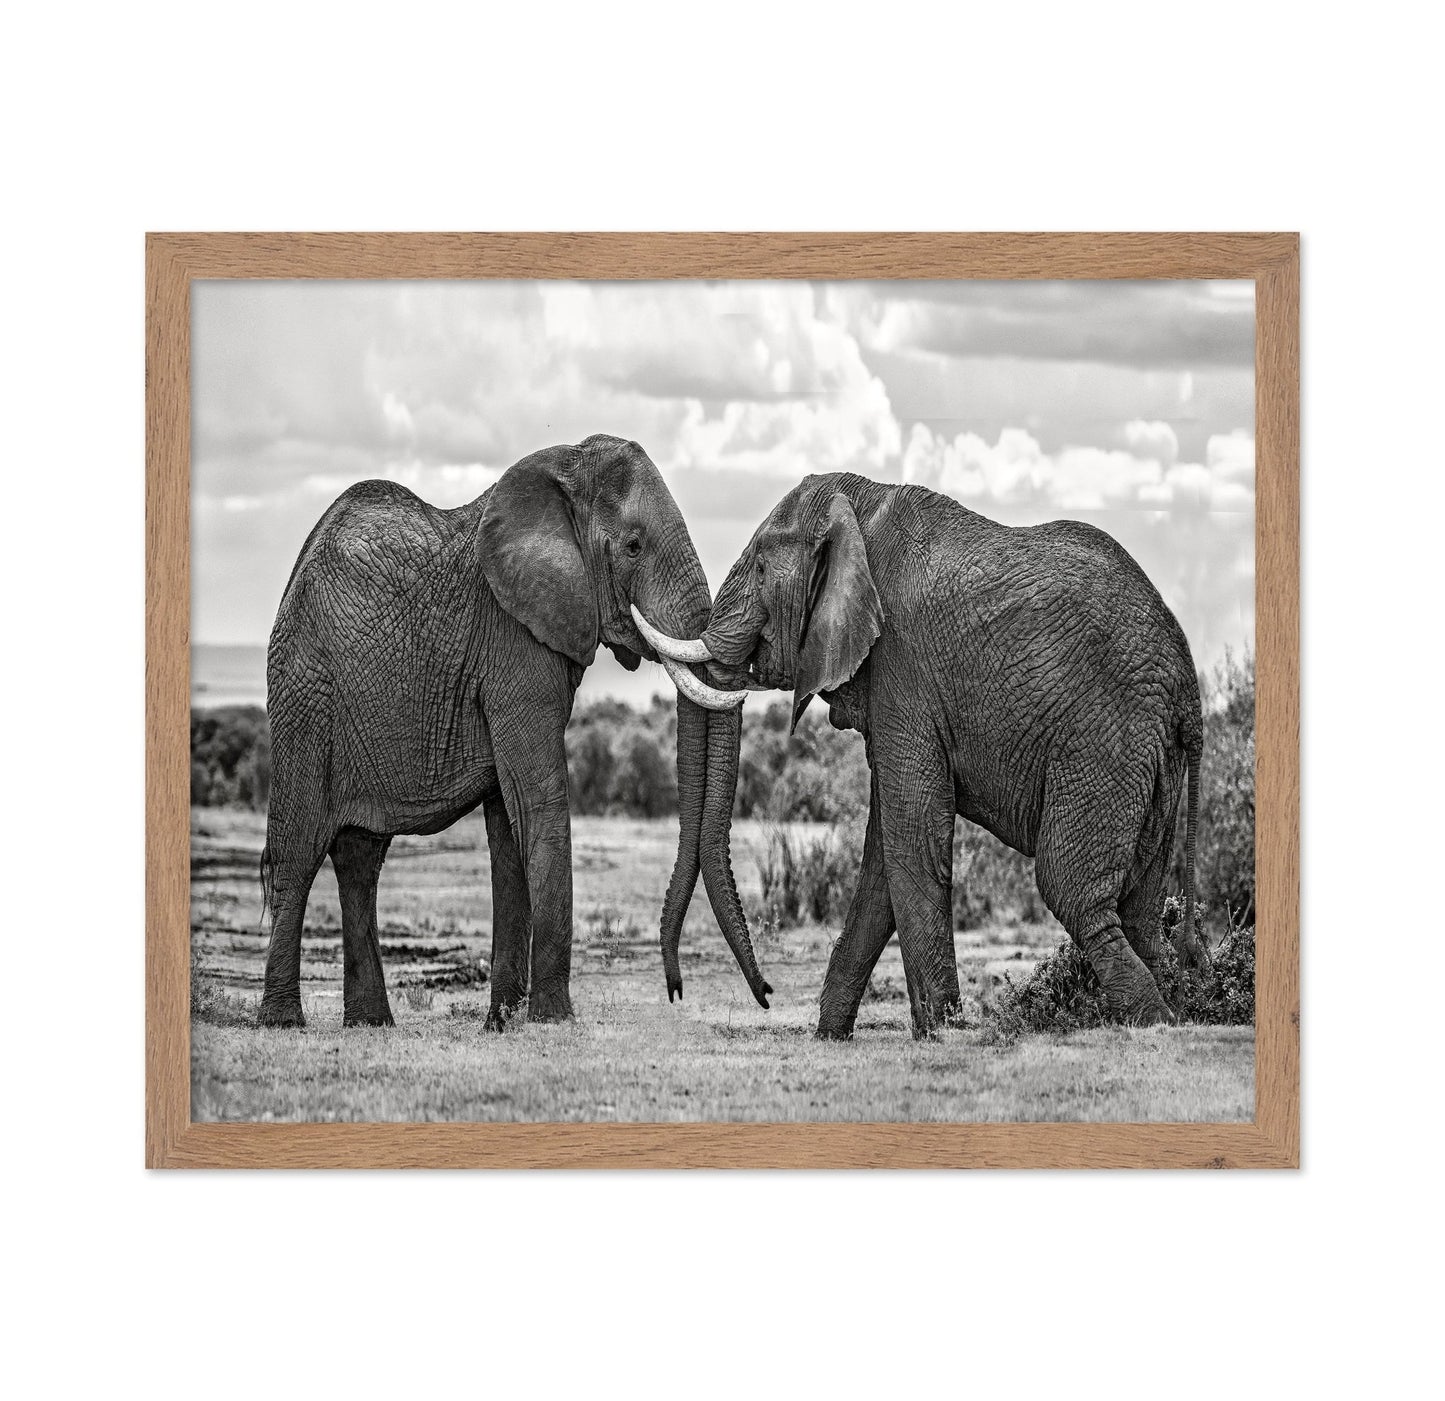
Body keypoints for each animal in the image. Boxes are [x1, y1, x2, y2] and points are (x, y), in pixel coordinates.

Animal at [256, 434, 771, 1030]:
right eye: (634, 545)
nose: (676, 990)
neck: (564, 472)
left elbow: (510, 823)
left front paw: (502, 1022)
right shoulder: (513, 642)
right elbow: (537, 799)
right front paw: (553, 1019)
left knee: (360, 860)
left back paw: (371, 1024)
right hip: (304, 695)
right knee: (299, 852)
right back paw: (282, 1021)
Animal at [639, 471, 1207, 1039]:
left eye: (759, 566)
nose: (767, 994)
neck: (857, 509)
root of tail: (1188, 684)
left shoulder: (902, 666)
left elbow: (911, 837)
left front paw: (941, 1034)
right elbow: (883, 857)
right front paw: (832, 1036)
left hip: (1105, 740)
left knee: (1072, 891)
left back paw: (1155, 1022)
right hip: (1153, 759)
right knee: (1140, 908)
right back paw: (1174, 1011)